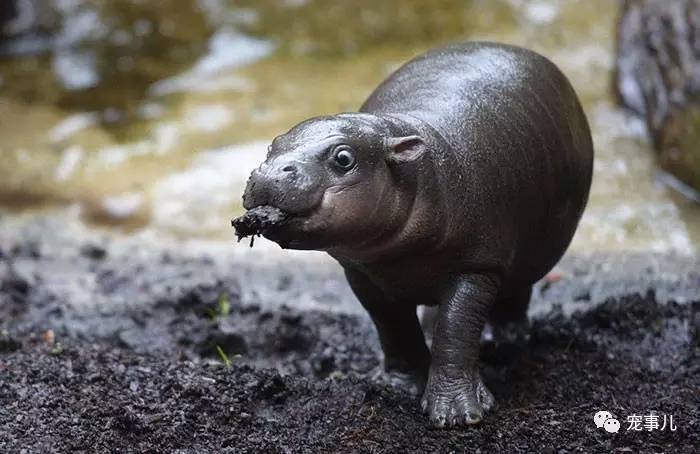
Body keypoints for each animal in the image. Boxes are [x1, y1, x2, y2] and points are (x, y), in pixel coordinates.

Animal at [232, 40, 592, 428]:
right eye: (272, 145)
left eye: (344, 158)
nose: (270, 173)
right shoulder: (360, 271)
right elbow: (392, 324)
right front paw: (399, 384)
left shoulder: (477, 266)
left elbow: (456, 328)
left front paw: (457, 415)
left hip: (527, 251)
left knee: (515, 292)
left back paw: (504, 336)